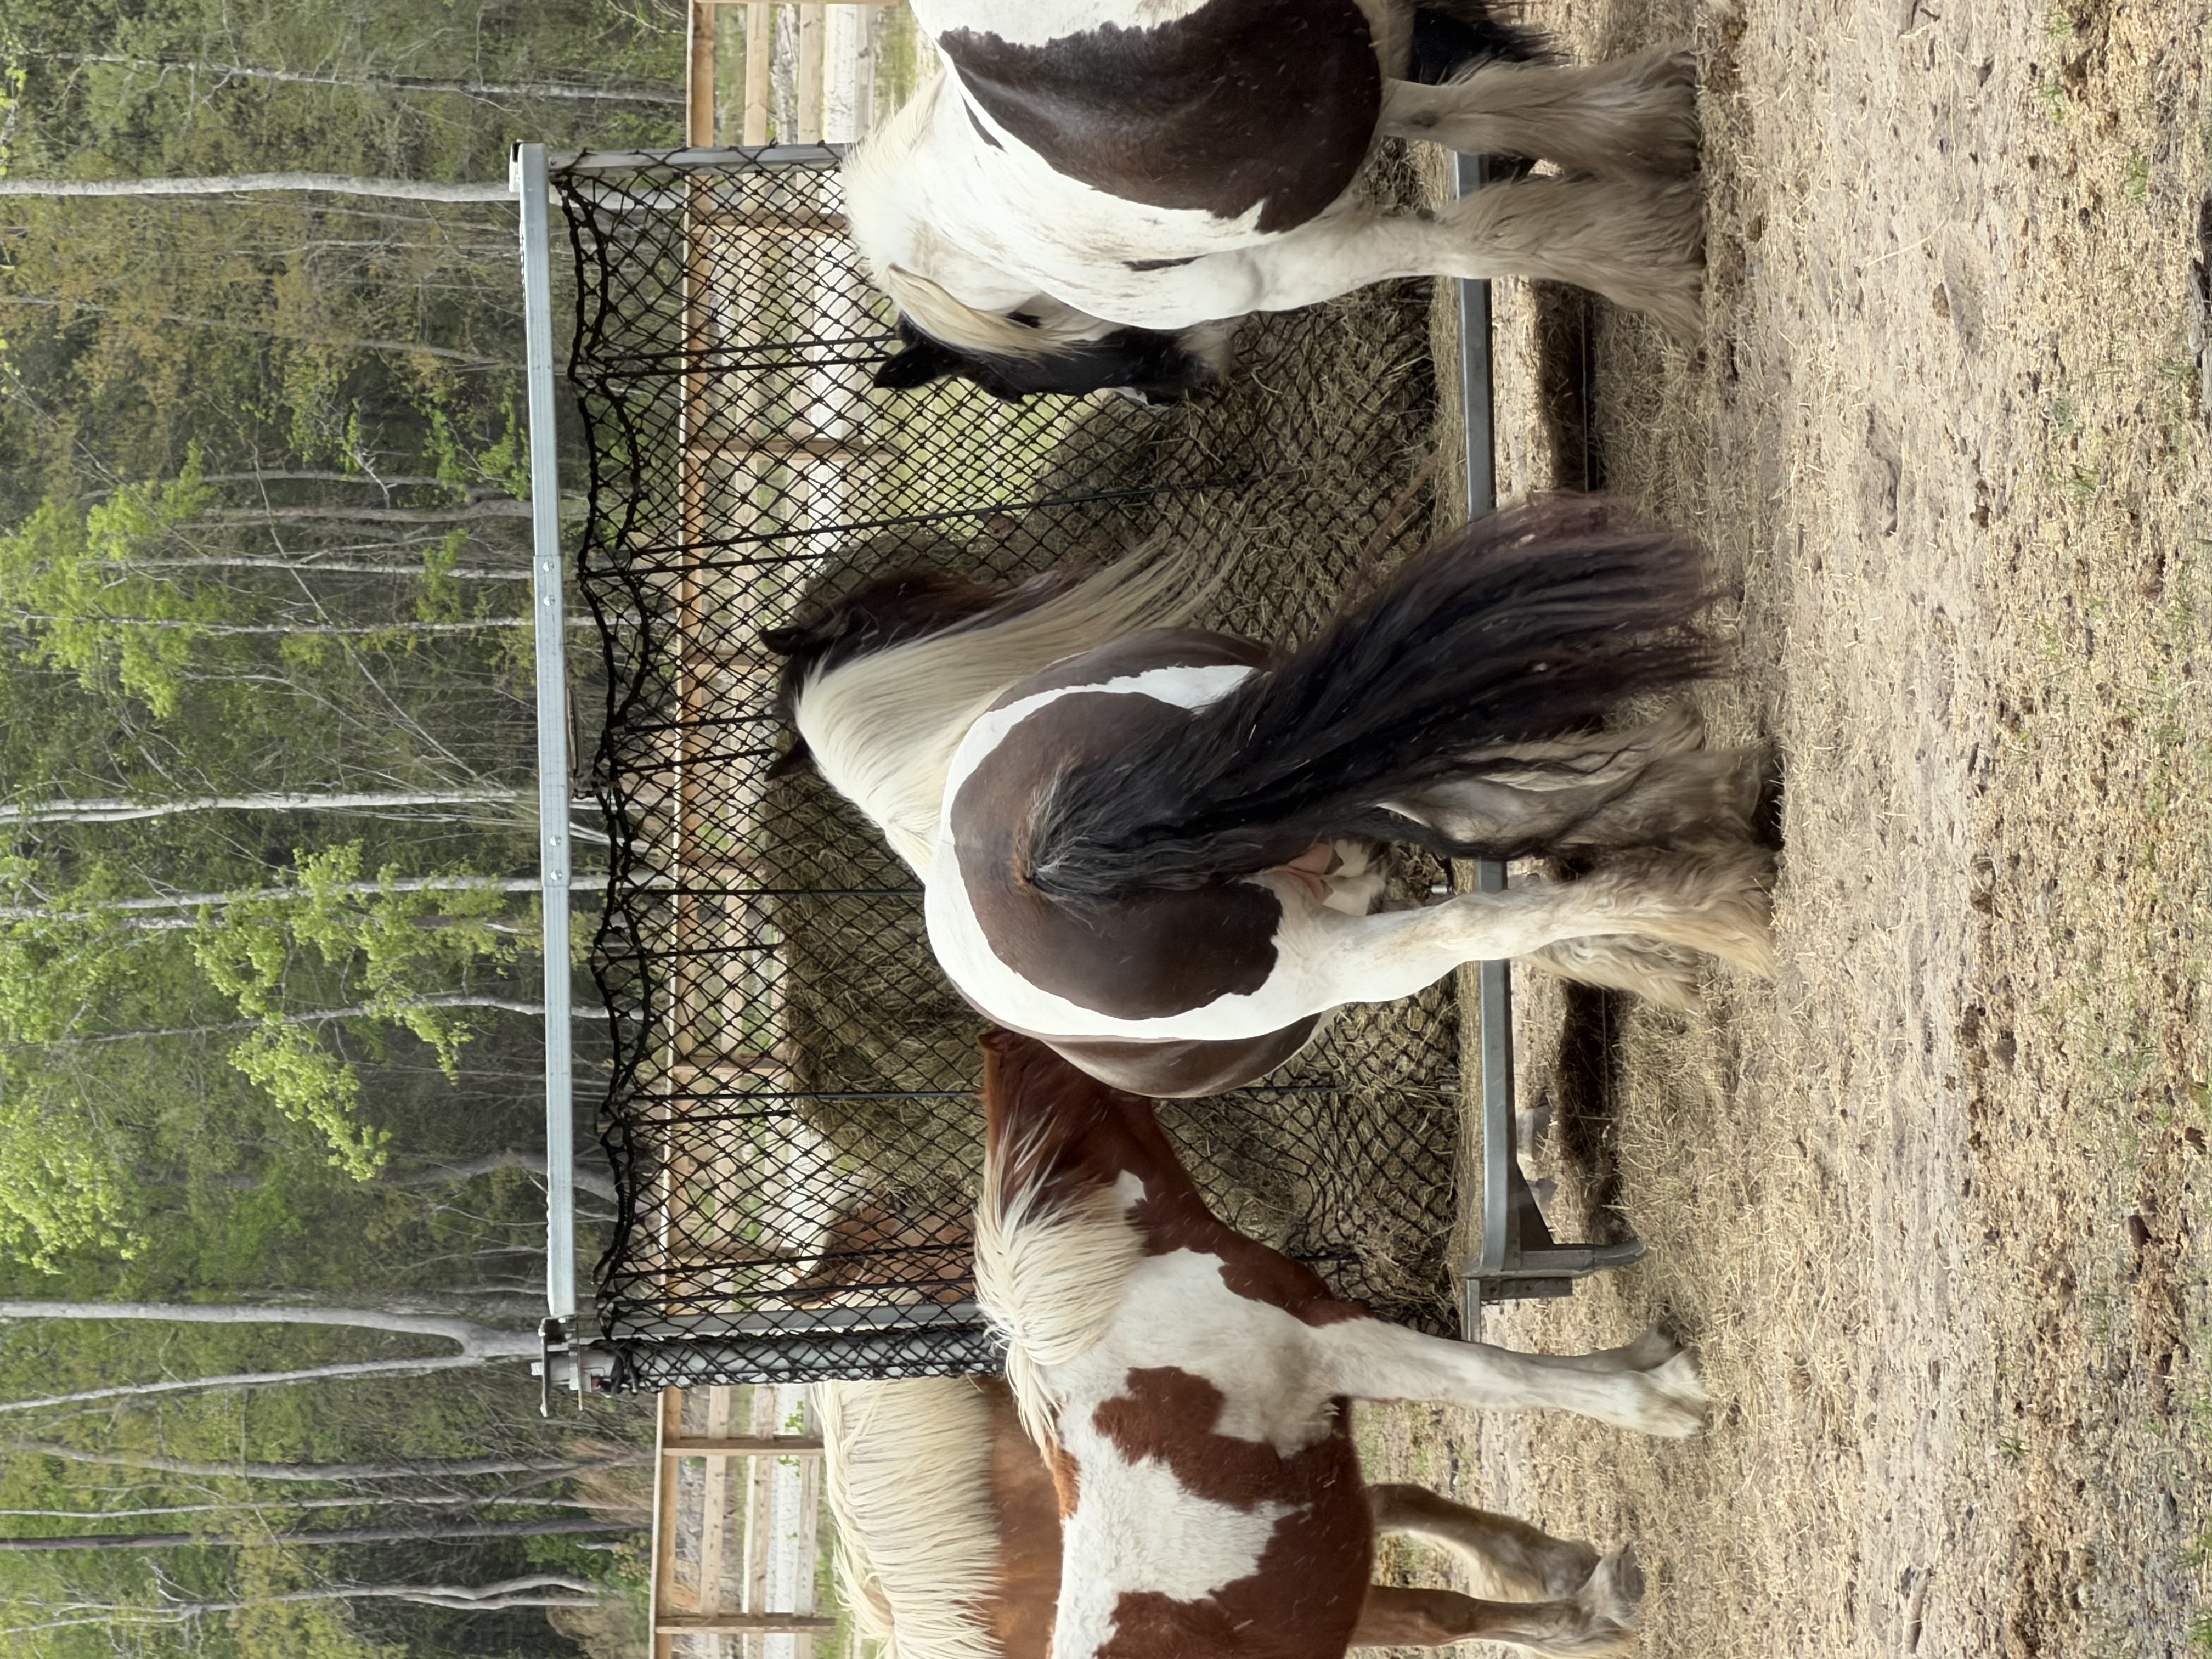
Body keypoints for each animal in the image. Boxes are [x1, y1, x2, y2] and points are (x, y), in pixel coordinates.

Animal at [766, 496, 1776, 1099]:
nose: (1022, 576)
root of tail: (1041, 859)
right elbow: (1542, 909)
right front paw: (1659, 966)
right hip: (1344, 890)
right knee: (1490, 899)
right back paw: (1728, 884)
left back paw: (1727, 871)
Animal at [849, 0, 1705, 403]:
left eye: (1009, 387)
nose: (1169, 401)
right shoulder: (1362, 100)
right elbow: (1472, 111)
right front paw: (1658, 122)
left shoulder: (1290, 266)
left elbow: (1478, 239)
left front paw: (1667, 274)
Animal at [968, 1027, 1703, 1657]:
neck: (1125, 1292)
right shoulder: (1334, 1344)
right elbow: (1500, 1374)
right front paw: (1667, 1399)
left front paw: (1645, 1361)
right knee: (1452, 1616)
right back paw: (1602, 1600)